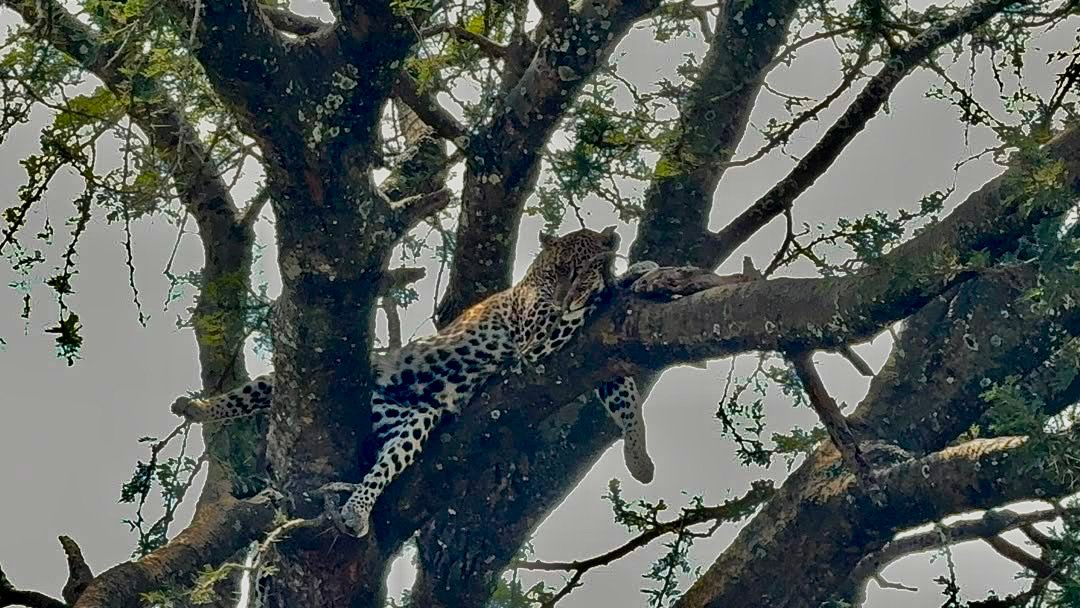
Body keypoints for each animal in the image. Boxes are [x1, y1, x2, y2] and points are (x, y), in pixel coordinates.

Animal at [171, 226, 657, 538]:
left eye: (580, 270)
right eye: (558, 271)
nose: (564, 296)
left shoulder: (590, 355)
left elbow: (623, 394)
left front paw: (639, 460)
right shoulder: (534, 338)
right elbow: (588, 318)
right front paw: (633, 272)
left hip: (411, 416)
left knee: (385, 460)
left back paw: (354, 509)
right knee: (256, 391)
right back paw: (198, 408)